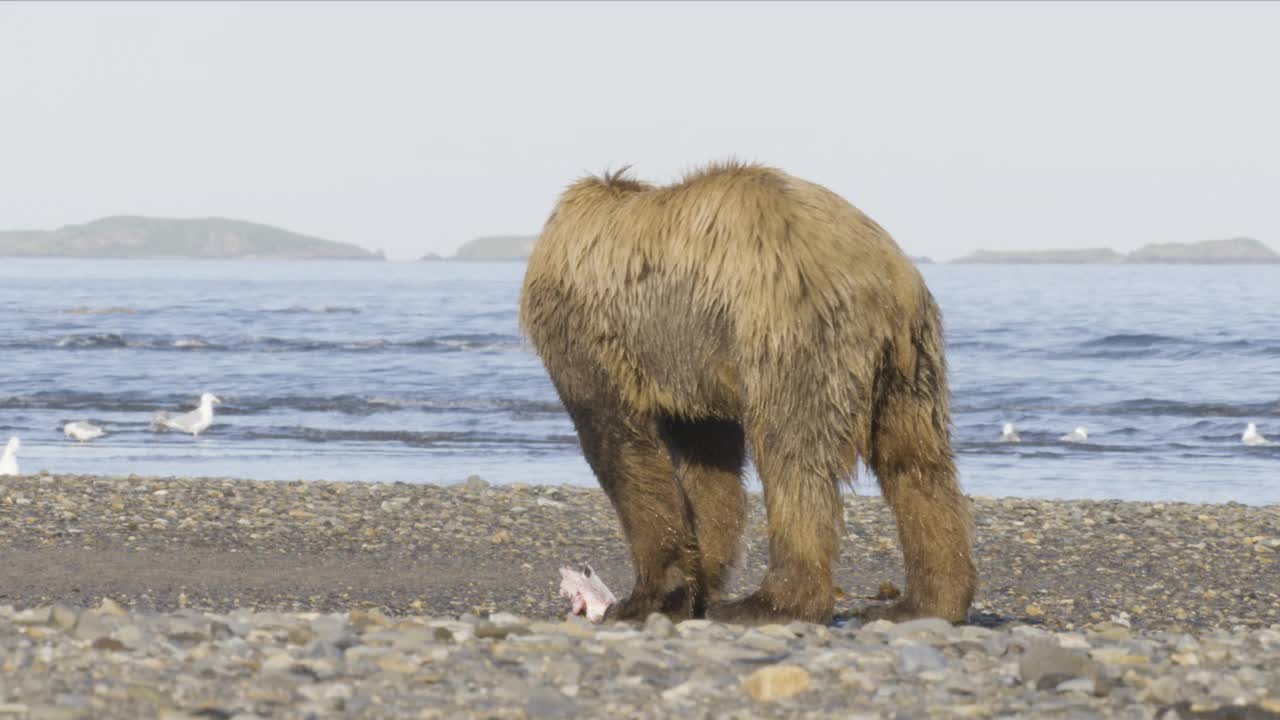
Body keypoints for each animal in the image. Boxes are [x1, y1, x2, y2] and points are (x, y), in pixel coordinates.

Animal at [514, 161, 972, 622]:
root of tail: (886, 281)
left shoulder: (597, 336)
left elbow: (622, 446)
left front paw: (646, 597)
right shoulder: (692, 366)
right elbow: (710, 469)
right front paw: (698, 580)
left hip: (790, 333)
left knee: (793, 457)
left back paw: (771, 602)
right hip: (911, 366)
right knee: (916, 462)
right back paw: (924, 602)